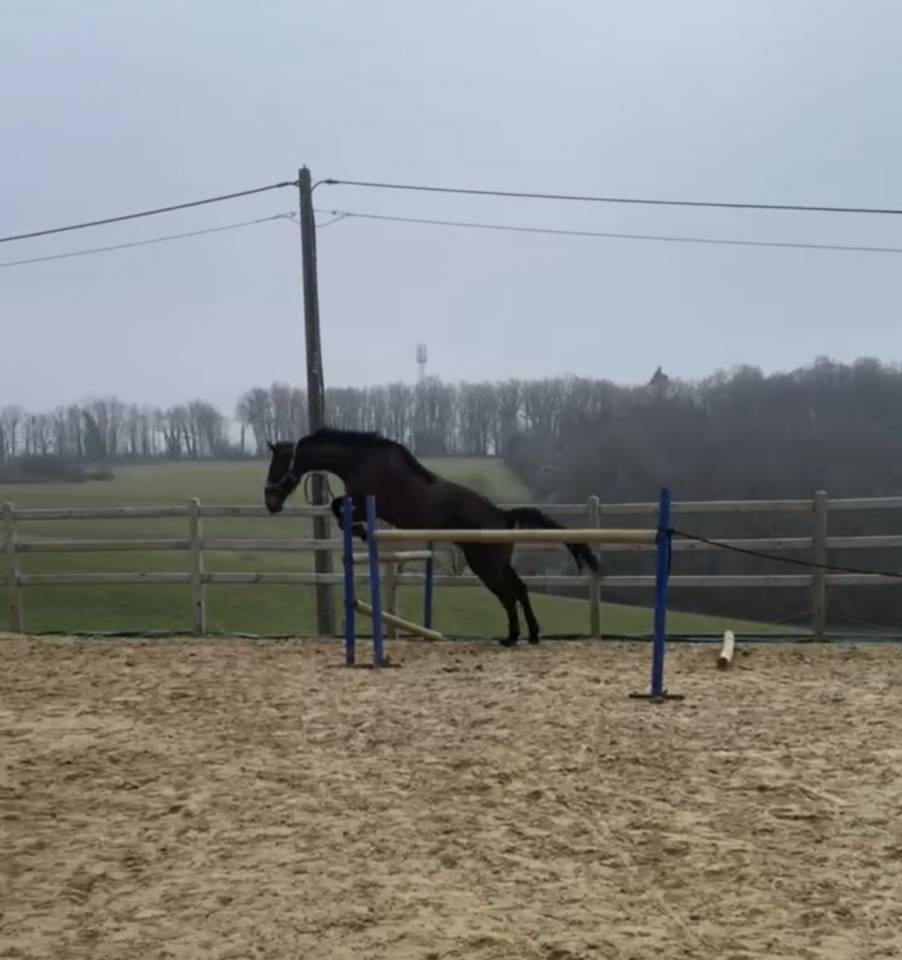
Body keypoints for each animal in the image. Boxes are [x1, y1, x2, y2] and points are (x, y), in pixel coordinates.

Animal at [263, 427, 599, 646]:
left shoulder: (362, 500)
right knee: (520, 589)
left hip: (485, 564)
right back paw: (531, 634)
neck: (359, 459)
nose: (270, 503)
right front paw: (360, 531)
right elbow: (337, 507)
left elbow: (338, 507)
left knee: (507, 594)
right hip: (498, 563)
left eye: (276, 465)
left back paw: (512, 637)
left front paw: (360, 531)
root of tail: (503, 515)